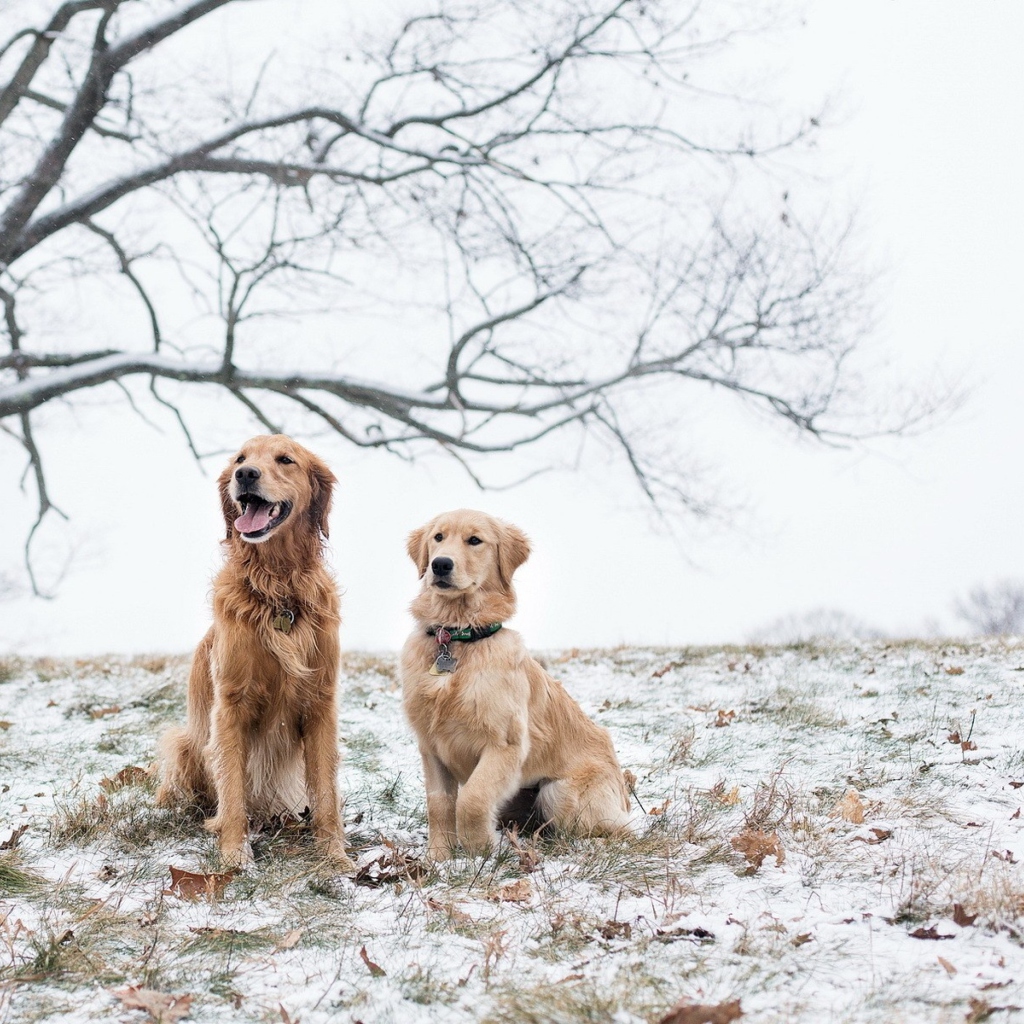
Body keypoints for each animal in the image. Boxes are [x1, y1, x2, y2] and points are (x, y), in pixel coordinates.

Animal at [155, 434, 354, 872]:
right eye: (240, 459)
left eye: (285, 459)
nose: (245, 474)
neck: (278, 588)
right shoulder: (230, 706)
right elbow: (232, 791)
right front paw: (234, 854)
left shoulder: (321, 703)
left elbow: (326, 794)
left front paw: (336, 855)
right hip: (183, 743)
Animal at [397, 509, 630, 856]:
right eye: (438, 537)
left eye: (475, 540)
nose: (440, 564)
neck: (458, 638)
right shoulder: (431, 746)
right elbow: (439, 805)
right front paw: (439, 857)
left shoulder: (504, 744)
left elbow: (472, 799)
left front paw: (480, 850)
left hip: (558, 793)